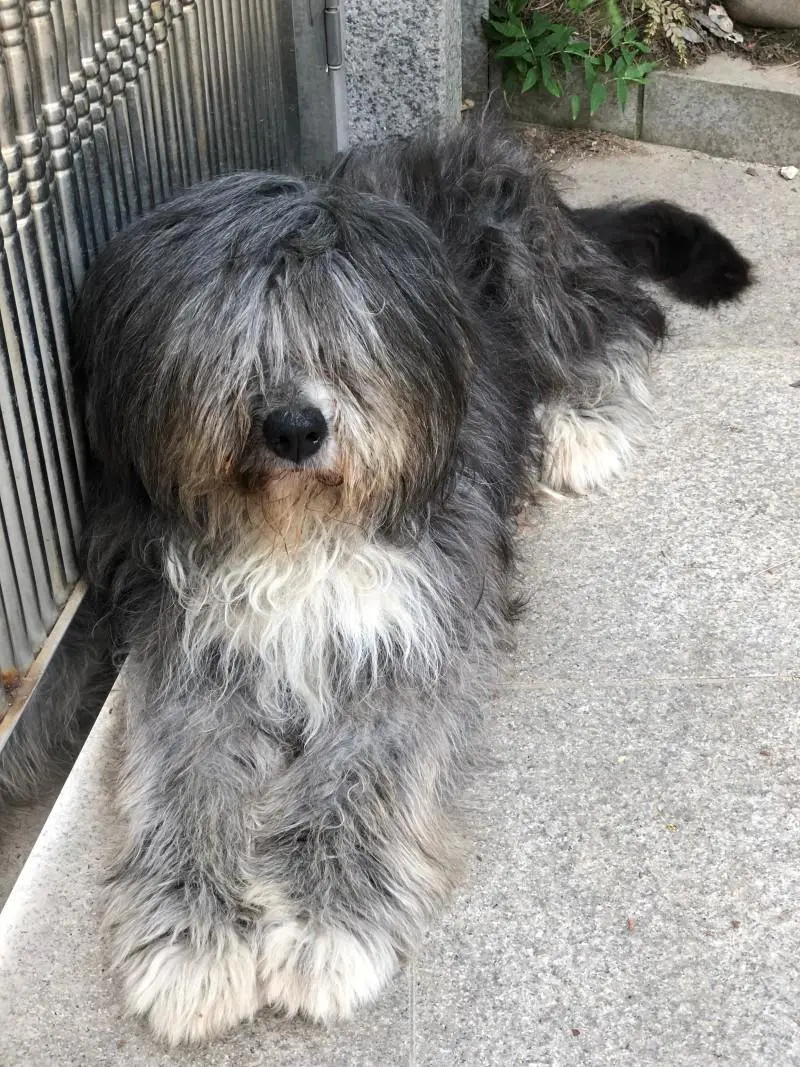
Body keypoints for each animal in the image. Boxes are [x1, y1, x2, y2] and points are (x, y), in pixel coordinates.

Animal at [4, 120, 750, 1045]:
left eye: (347, 335)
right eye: (231, 340)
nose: (295, 428)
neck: (300, 534)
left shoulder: (410, 632)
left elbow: (365, 767)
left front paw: (327, 922)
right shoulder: (194, 643)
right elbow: (189, 775)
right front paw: (193, 937)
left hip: (526, 254)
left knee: (613, 321)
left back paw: (580, 427)